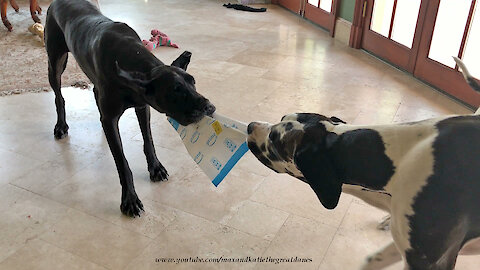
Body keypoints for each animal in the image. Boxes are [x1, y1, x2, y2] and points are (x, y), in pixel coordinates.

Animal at [45, 0, 216, 217]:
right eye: (176, 90)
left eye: (193, 82)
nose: (209, 107)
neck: (130, 56)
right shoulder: (111, 118)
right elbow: (122, 162)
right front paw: (130, 199)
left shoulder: (142, 106)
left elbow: (148, 140)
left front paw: (155, 167)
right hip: (55, 62)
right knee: (59, 96)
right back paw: (61, 125)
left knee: (94, 92)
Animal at [248, 57, 480, 270]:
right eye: (282, 116)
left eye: (274, 141)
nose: (250, 126)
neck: (404, 156)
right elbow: (372, 260)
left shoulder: (429, 261)